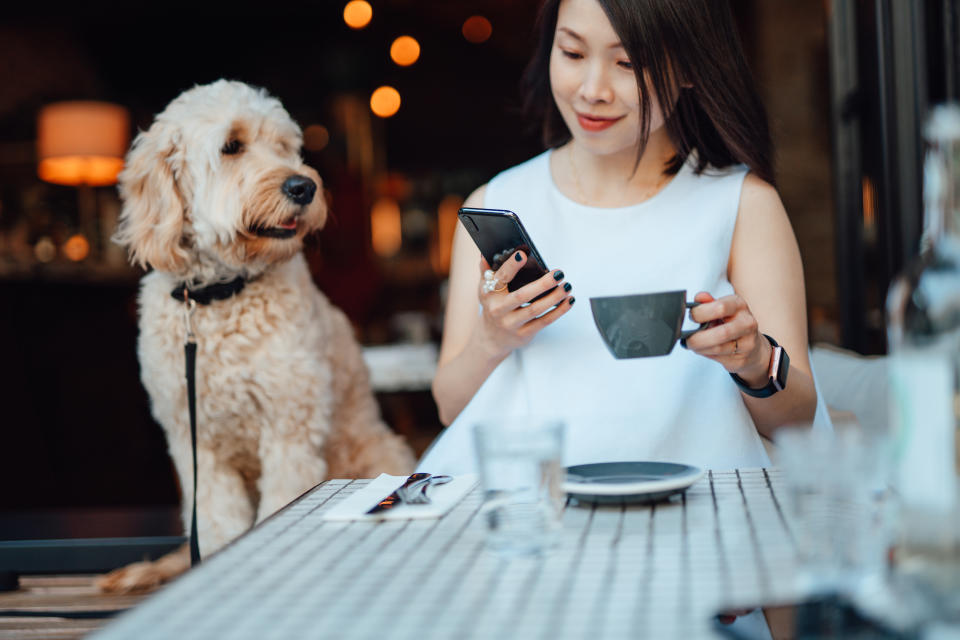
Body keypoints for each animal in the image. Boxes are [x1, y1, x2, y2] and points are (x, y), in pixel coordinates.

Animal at [95, 81, 418, 596]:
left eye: (285, 146)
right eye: (232, 146)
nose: (304, 187)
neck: (221, 296)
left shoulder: (289, 430)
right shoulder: (196, 447)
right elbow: (218, 525)